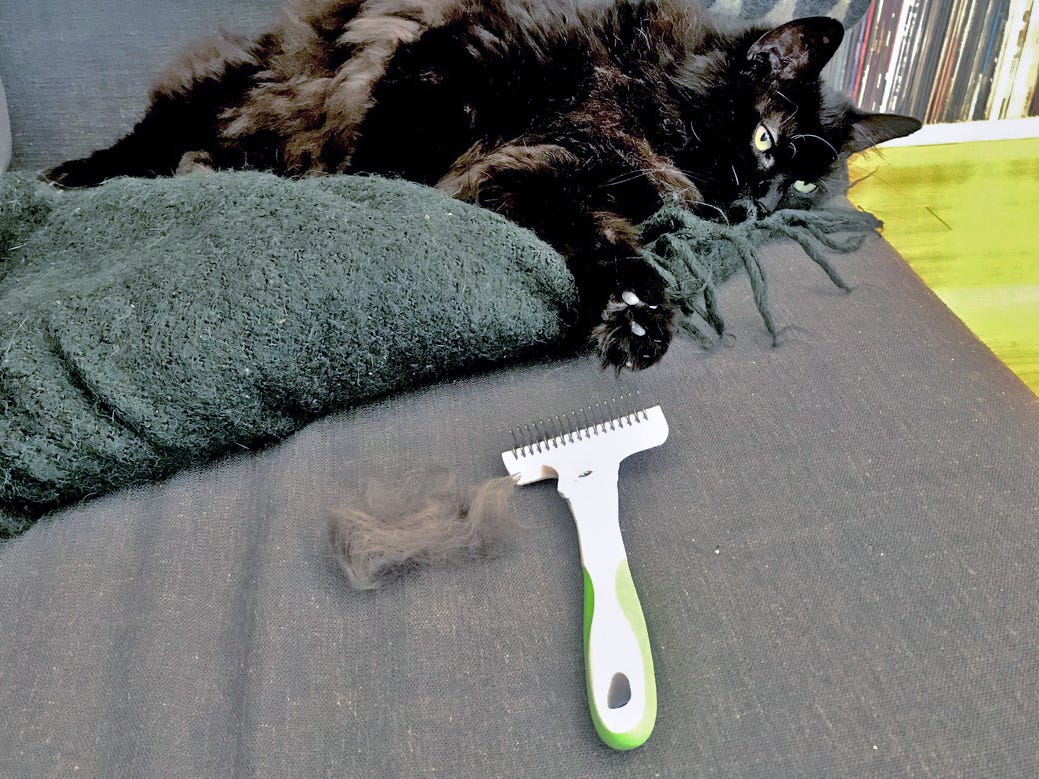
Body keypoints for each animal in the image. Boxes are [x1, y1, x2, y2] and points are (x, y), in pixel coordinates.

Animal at [44, 0, 922, 371]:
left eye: (805, 188)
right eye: (765, 139)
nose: (759, 206)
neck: (640, 86)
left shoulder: (555, 177)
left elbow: (615, 253)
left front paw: (635, 319)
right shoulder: (451, 57)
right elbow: (396, 140)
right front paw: (375, 185)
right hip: (236, 86)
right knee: (156, 133)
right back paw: (80, 172)